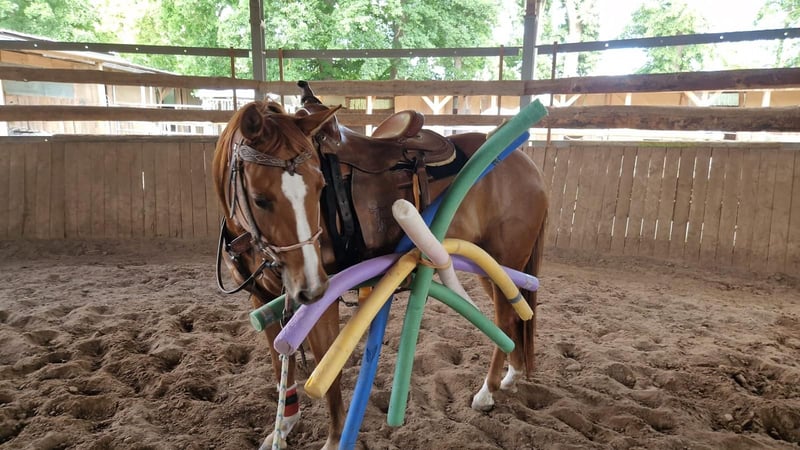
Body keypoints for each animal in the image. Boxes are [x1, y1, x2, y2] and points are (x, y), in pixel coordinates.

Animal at [212, 82, 548, 449]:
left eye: (320, 187)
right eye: (260, 199)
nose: (312, 287)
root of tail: (528, 165)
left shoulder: (323, 302)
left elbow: (328, 371)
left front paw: (334, 438)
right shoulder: (261, 299)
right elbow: (278, 366)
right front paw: (282, 428)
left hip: (502, 260)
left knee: (505, 318)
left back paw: (486, 392)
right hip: (494, 270)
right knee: (514, 315)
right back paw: (512, 376)